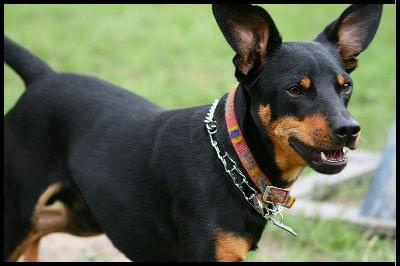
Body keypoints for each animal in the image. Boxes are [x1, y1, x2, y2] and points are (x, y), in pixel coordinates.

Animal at [3, 4, 384, 262]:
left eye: (346, 86)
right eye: (294, 90)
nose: (350, 129)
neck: (234, 158)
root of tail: (43, 77)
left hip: (92, 213)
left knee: (44, 223)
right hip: (20, 211)